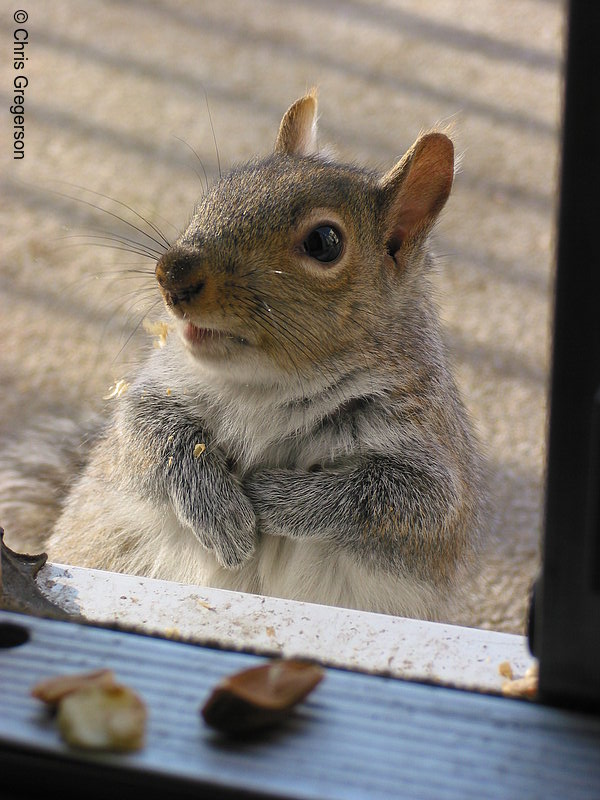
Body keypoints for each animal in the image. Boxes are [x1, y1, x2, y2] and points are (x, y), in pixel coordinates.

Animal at [2, 92, 486, 620]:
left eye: (324, 242)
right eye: (220, 190)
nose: (171, 274)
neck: (266, 384)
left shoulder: (430, 456)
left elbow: (397, 502)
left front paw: (273, 497)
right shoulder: (161, 386)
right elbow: (148, 434)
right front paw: (220, 510)